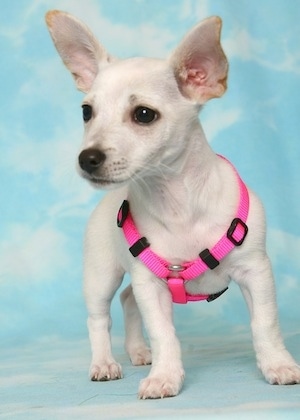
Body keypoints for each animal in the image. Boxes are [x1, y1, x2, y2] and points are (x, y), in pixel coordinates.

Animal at [45, 9, 298, 398]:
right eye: (87, 112)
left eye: (144, 115)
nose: (87, 158)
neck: (178, 200)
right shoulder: (151, 285)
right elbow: (164, 333)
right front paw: (165, 375)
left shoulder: (255, 271)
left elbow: (265, 323)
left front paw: (277, 364)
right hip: (101, 275)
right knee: (100, 317)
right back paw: (104, 363)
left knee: (127, 299)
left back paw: (137, 350)